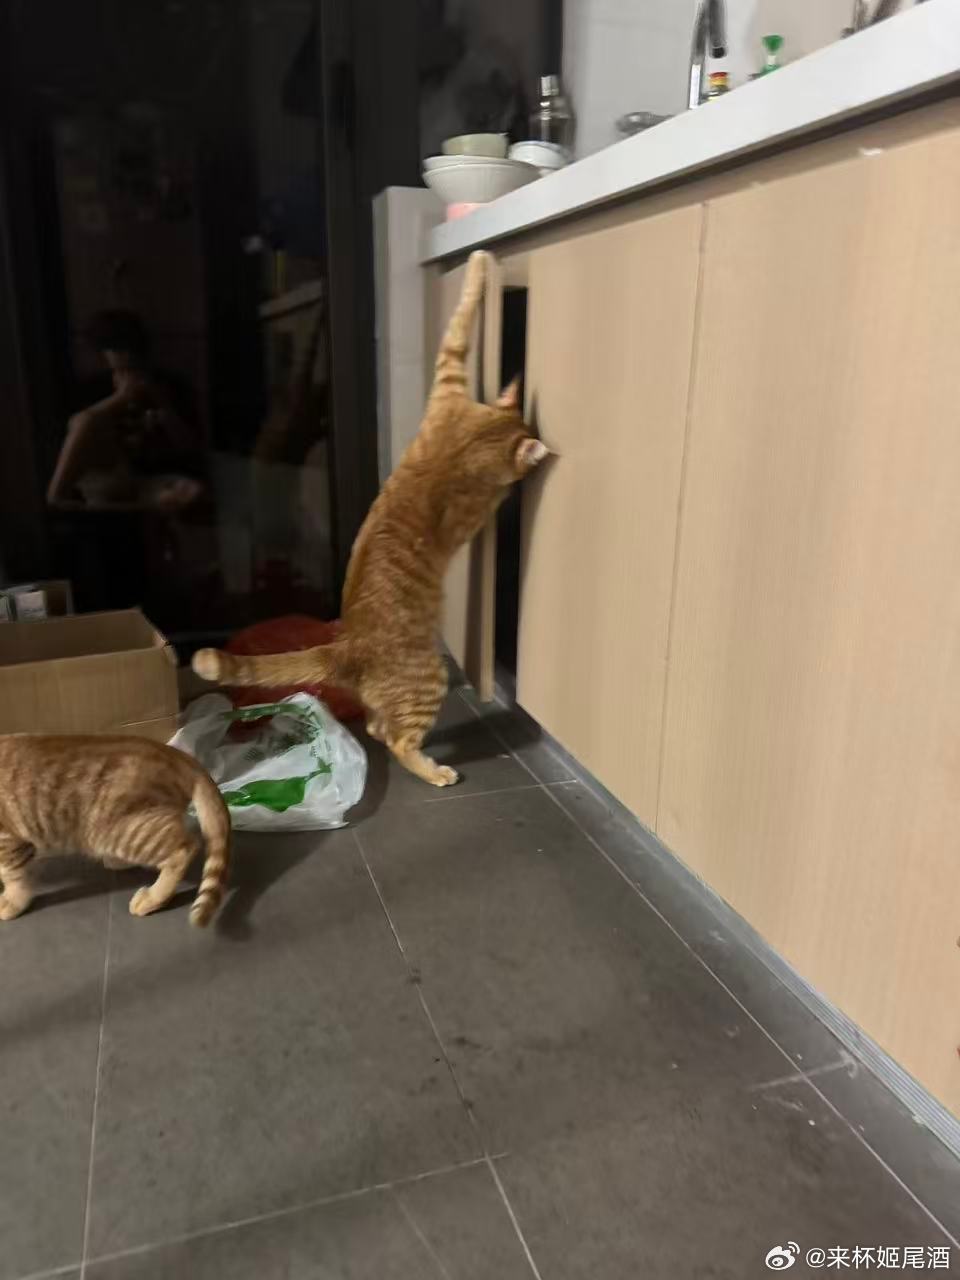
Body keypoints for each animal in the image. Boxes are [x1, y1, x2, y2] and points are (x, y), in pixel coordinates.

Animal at [0, 734, 231, 925]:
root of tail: (175, 753)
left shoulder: (8, 842)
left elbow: (13, 877)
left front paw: (12, 902)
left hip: (117, 830)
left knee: (185, 847)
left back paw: (152, 897)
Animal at [193, 250, 548, 787]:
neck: (474, 437)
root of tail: (346, 645)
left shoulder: (447, 376)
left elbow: (460, 317)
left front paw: (478, 262)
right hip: (430, 677)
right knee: (398, 740)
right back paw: (436, 772)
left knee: (380, 727)